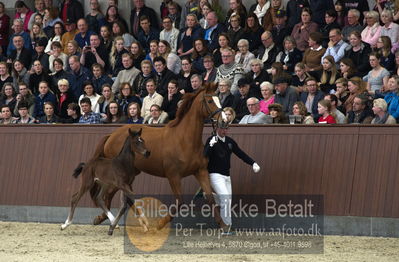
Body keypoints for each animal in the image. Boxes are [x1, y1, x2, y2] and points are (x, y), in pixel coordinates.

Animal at [92, 83, 227, 229]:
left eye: (219, 99)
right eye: (210, 101)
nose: (225, 121)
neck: (185, 140)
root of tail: (111, 135)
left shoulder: (200, 171)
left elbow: (211, 199)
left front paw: (223, 225)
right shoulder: (173, 175)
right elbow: (180, 202)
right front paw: (160, 224)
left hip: (131, 173)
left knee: (120, 196)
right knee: (109, 194)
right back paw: (106, 220)